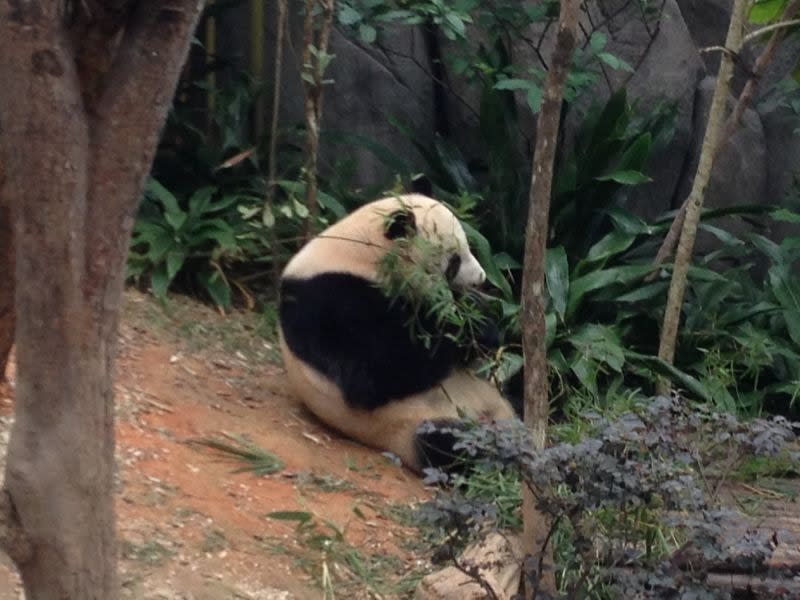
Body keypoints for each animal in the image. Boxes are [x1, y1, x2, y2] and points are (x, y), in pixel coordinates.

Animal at [280, 193, 520, 474]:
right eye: (454, 261)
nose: (480, 279)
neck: (360, 253)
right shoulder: (329, 300)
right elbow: (374, 374)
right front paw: (473, 328)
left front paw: (482, 314)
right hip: (412, 425)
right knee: (450, 446)